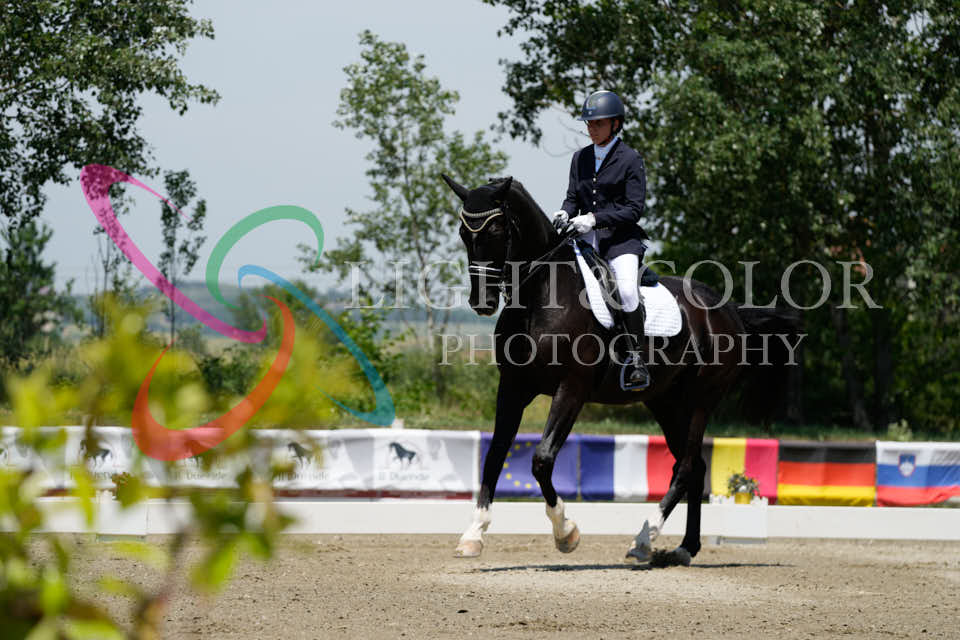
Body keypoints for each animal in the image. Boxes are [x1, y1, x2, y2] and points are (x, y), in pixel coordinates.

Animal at [441, 174, 798, 565]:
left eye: (497, 229)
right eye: (463, 232)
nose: (482, 302)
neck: (540, 295)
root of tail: (729, 309)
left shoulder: (572, 388)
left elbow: (542, 459)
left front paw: (566, 533)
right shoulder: (513, 387)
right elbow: (494, 455)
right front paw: (473, 534)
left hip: (702, 399)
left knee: (687, 466)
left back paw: (644, 538)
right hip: (665, 401)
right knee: (694, 466)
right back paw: (684, 546)